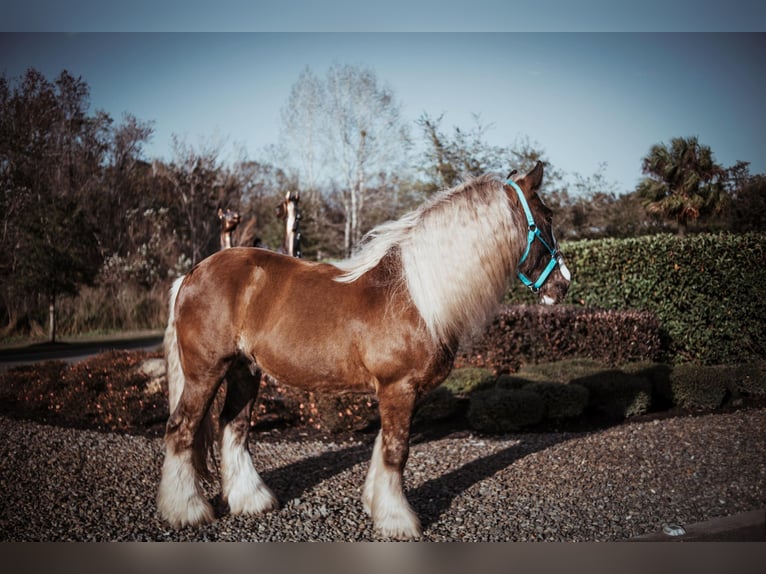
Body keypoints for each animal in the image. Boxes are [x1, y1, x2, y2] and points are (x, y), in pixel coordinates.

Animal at [159, 161, 572, 540]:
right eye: (548, 216)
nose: (563, 285)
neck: (414, 295)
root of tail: (192, 274)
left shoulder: (398, 392)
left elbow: (382, 448)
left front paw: (378, 506)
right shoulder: (398, 387)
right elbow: (395, 451)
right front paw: (398, 521)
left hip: (245, 371)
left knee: (234, 427)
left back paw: (251, 501)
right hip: (206, 372)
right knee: (182, 429)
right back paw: (186, 511)